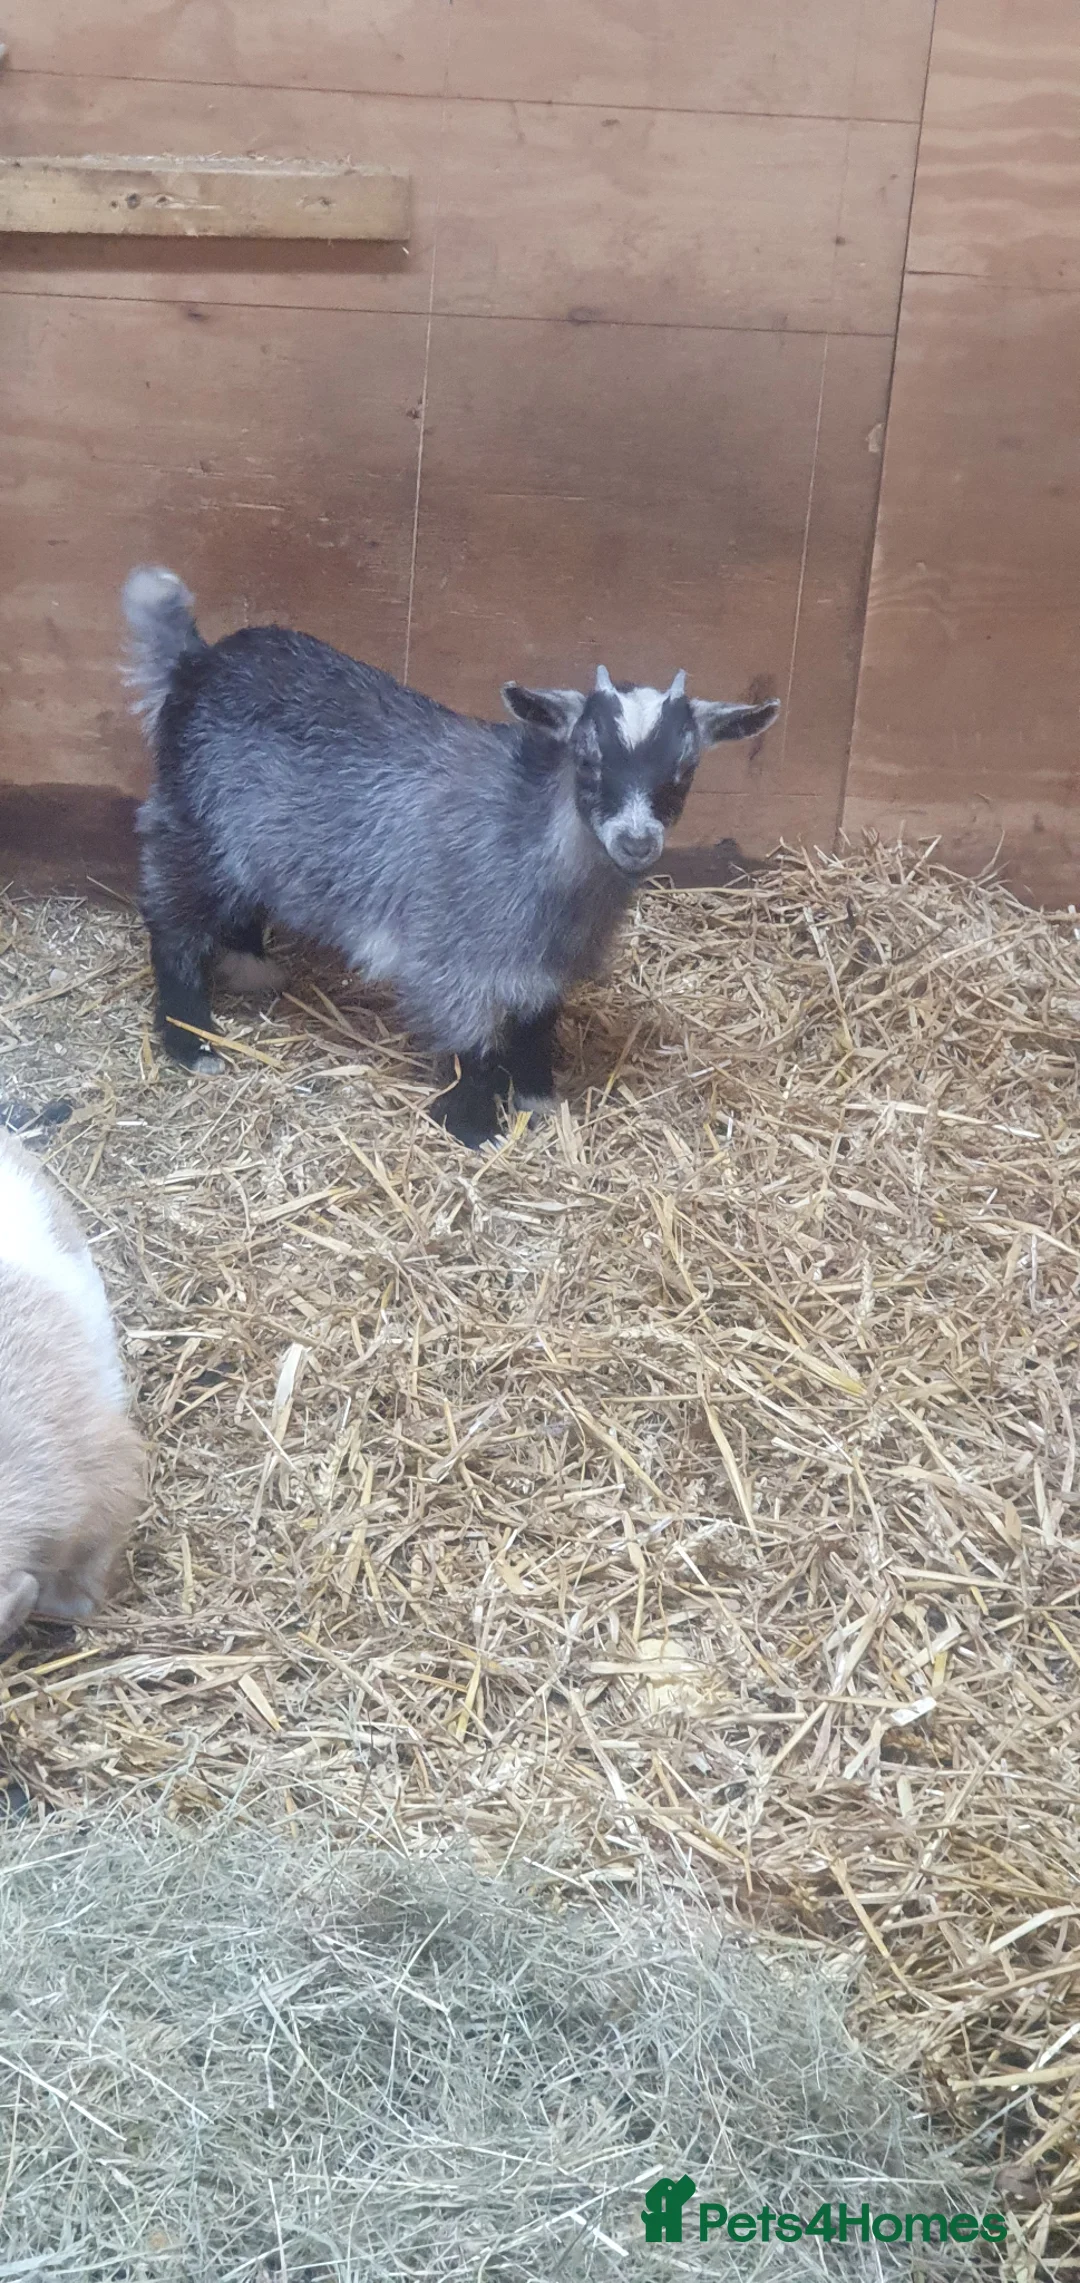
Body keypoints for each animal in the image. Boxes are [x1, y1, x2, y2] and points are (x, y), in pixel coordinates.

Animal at [123, 567, 779, 1146]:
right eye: (588, 760)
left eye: (683, 773)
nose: (637, 842)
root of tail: (196, 662)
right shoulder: (452, 954)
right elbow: (473, 1044)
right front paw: (475, 1127)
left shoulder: (544, 966)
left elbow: (536, 1024)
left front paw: (536, 1096)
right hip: (194, 826)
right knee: (173, 922)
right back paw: (192, 1040)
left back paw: (250, 967)